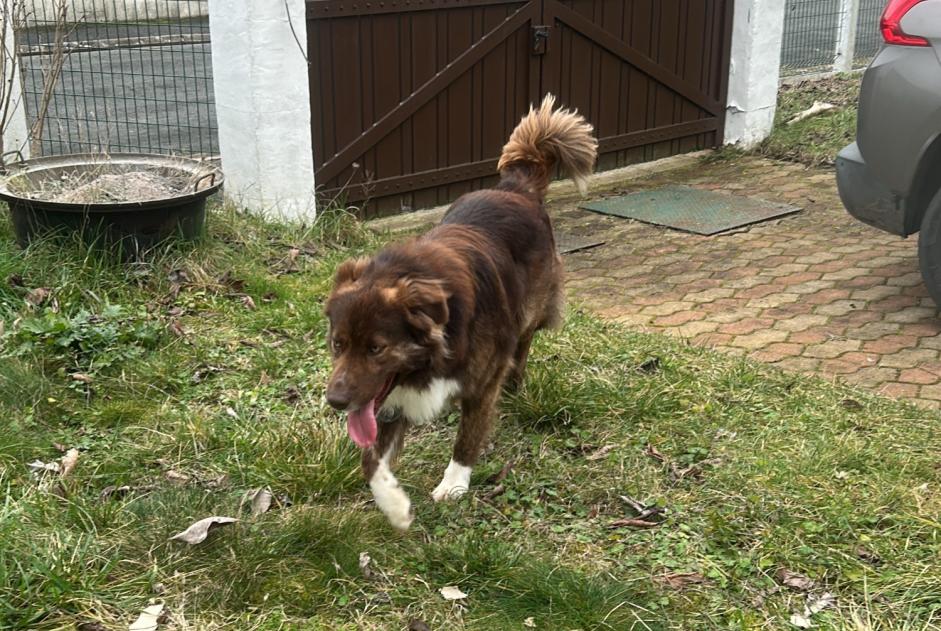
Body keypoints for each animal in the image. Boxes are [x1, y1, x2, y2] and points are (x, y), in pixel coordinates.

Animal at [326, 94, 600, 528]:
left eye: (376, 348)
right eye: (338, 344)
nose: (335, 401)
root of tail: (516, 187)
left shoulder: (480, 383)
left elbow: (468, 435)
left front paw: (454, 484)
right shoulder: (389, 402)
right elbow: (370, 462)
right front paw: (396, 506)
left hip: (533, 308)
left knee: (523, 342)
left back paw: (515, 381)